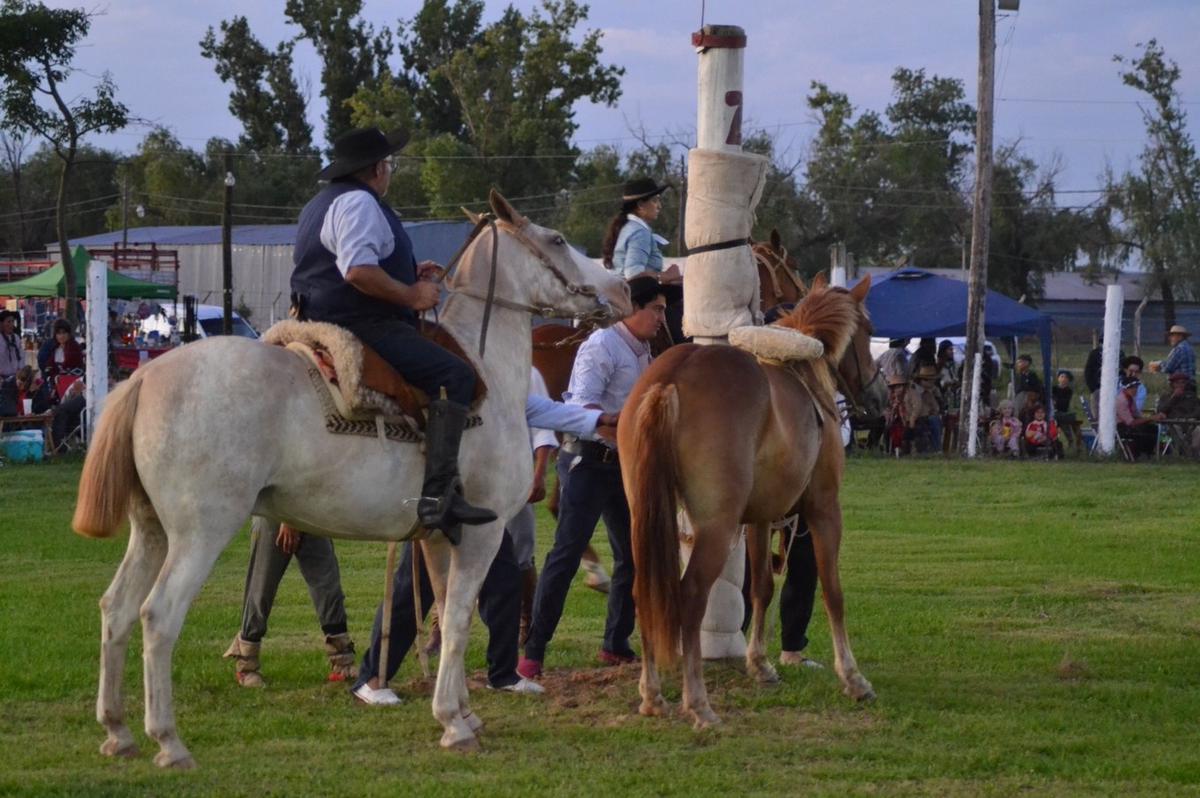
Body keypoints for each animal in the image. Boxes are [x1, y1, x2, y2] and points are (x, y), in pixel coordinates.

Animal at [75, 188, 633, 768]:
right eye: (558, 240)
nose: (622, 288)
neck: (485, 372)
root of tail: (143, 377)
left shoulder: (439, 536)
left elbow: (444, 616)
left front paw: (461, 711)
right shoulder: (482, 531)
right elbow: (459, 619)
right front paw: (454, 723)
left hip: (152, 531)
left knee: (116, 610)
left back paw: (117, 731)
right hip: (200, 533)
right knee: (158, 616)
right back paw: (168, 740)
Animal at [619, 276, 883, 729]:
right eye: (868, 329)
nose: (877, 392)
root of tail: (671, 377)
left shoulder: (760, 519)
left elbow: (761, 587)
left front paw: (759, 665)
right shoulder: (824, 510)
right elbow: (833, 591)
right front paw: (852, 677)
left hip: (647, 518)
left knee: (644, 591)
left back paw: (652, 695)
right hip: (716, 526)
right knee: (691, 596)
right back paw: (698, 702)